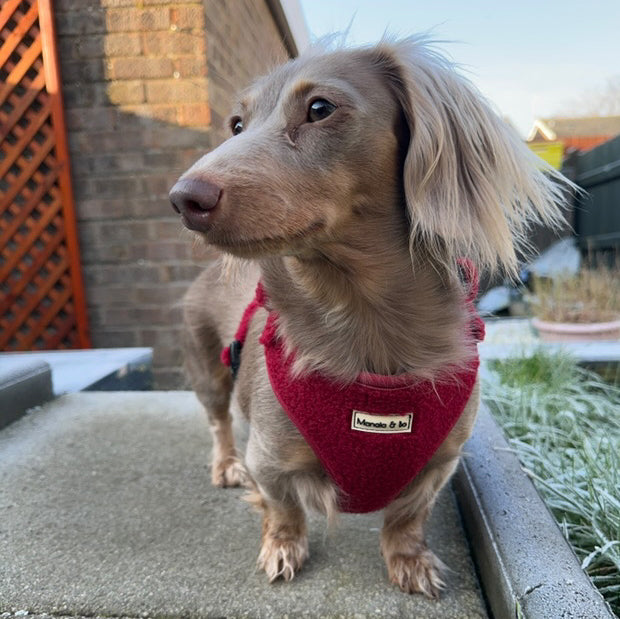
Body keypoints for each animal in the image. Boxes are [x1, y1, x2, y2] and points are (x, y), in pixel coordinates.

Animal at [167, 36, 564, 600]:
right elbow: (283, 507)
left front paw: (409, 559)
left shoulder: (440, 464)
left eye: (319, 109)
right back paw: (226, 465)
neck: (364, 323)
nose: (183, 200)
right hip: (209, 372)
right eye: (237, 125)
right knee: (219, 421)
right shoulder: (269, 458)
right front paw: (283, 546)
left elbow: (406, 516)